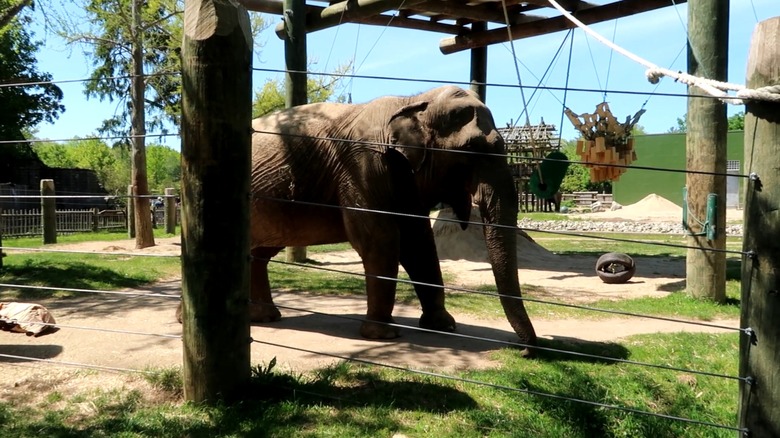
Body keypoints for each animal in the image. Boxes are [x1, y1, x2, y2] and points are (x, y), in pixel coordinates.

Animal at [244, 86, 536, 350]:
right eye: (470, 150)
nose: (522, 348)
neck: (413, 102)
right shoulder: (363, 166)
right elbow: (381, 238)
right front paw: (383, 335)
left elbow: (419, 241)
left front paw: (444, 326)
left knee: (260, 253)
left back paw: (265, 317)